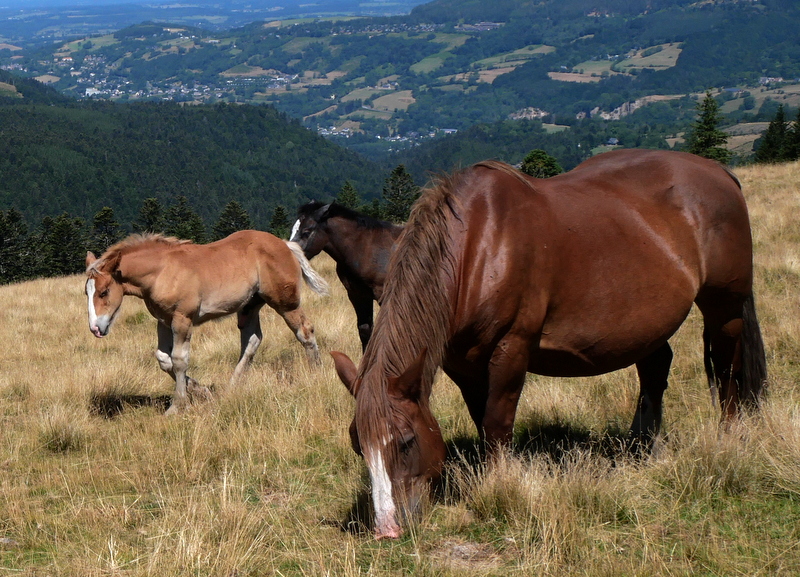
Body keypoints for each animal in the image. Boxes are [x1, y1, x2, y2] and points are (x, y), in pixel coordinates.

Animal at [85, 230, 329, 415]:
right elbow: (164, 359)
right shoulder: (163, 320)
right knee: (252, 340)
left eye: (104, 292)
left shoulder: (182, 318)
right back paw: (231, 387)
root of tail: (285, 244)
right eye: (86, 293)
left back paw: (316, 374)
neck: (162, 272)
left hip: (285, 303)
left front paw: (177, 405)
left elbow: (179, 360)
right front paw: (202, 391)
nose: (96, 329)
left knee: (305, 331)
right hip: (249, 307)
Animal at [330, 149, 767, 539]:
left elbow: (497, 421)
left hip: (725, 308)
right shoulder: (461, 362)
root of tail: (719, 172)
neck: (479, 244)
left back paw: (728, 438)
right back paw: (640, 446)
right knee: (656, 369)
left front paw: (500, 484)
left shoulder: (512, 347)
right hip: (649, 323)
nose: (387, 530)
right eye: (358, 446)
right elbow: (480, 418)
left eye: (405, 442)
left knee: (727, 369)